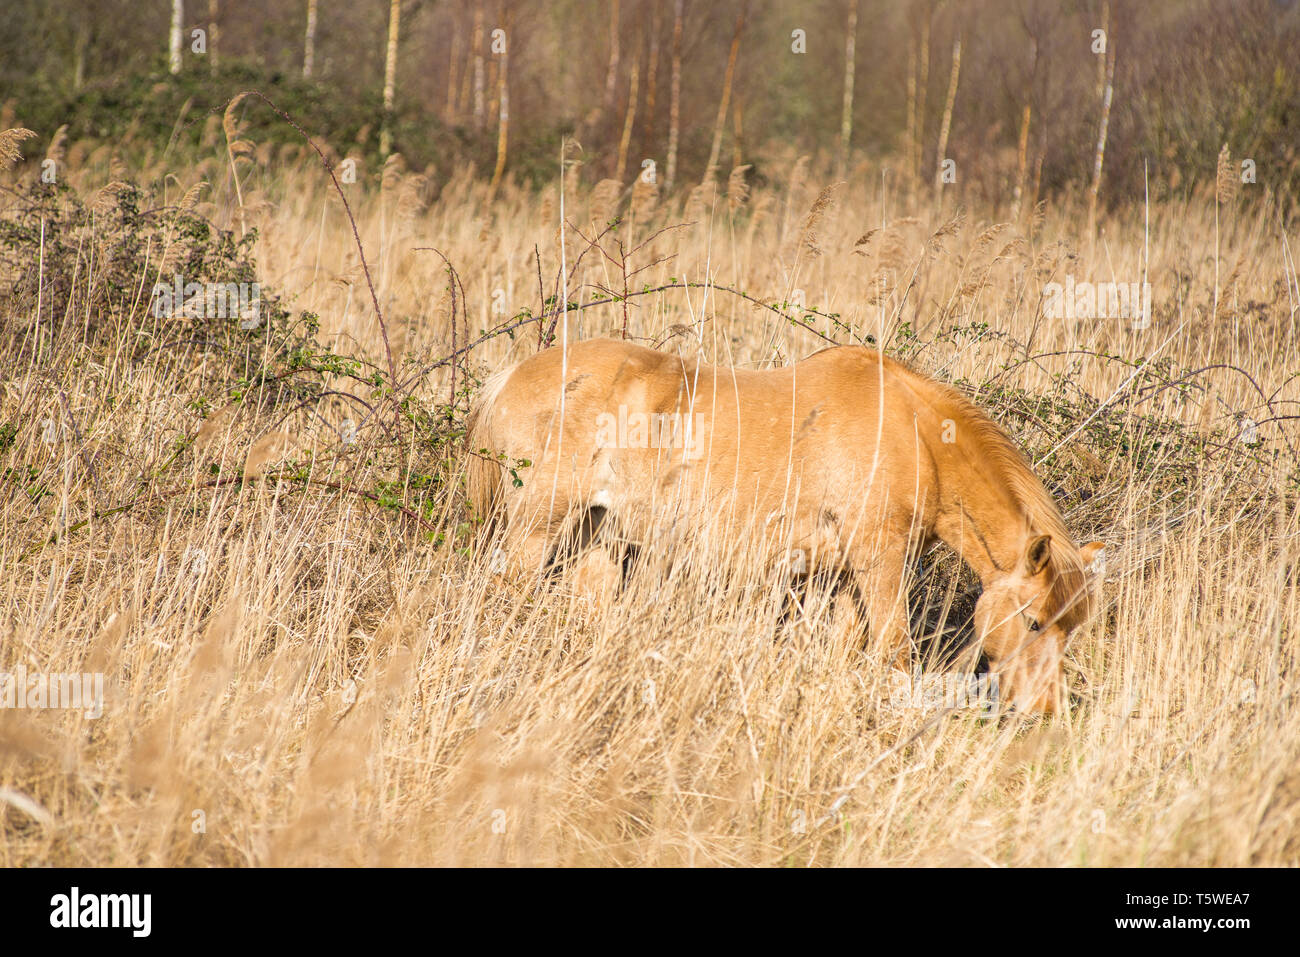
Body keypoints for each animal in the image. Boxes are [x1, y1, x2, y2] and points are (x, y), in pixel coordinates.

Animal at [462, 335, 1102, 712]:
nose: (1044, 711)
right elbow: (895, 651)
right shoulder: (879, 562)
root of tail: (510, 376)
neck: (916, 434)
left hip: (595, 534)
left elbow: (850, 651)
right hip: (536, 531)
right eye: (1037, 622)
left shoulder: (842, 576)